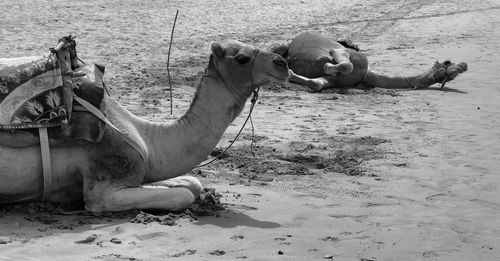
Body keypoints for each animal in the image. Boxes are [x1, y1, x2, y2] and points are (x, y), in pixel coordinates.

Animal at [0, 39, 290, 212]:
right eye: (241, 58)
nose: (283, 63)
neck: (145, 138)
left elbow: (192, 182)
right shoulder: (103, 187)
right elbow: (183, 195)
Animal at [272, 31, 466, 91]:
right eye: (447, 62)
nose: (464, 65)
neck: (365, 73)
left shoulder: (336, 81)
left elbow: (316, 83)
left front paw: (290, 73)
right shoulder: (341, 52)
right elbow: (345, 64)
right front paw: (327, 65)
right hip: (282, 46)